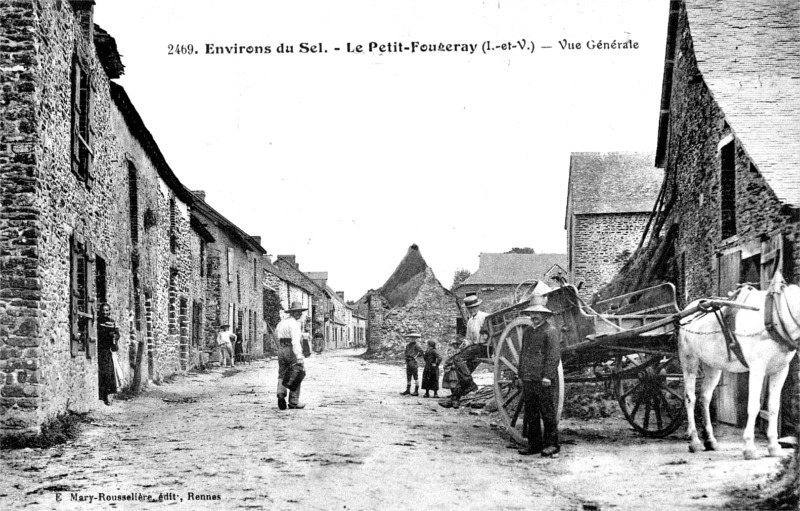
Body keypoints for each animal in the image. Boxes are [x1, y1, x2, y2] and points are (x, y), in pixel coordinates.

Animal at [680, 274, 796, 462]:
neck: (773, 317)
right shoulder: (757, 369)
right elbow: (754, 406)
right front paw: (749, 448)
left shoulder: (780, 370)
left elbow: (773, 407)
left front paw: (774, 447)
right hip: (689, 360)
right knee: (690, 398)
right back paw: (695, 441)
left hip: (712, 366)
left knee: (705, 397)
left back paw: (710, 440)